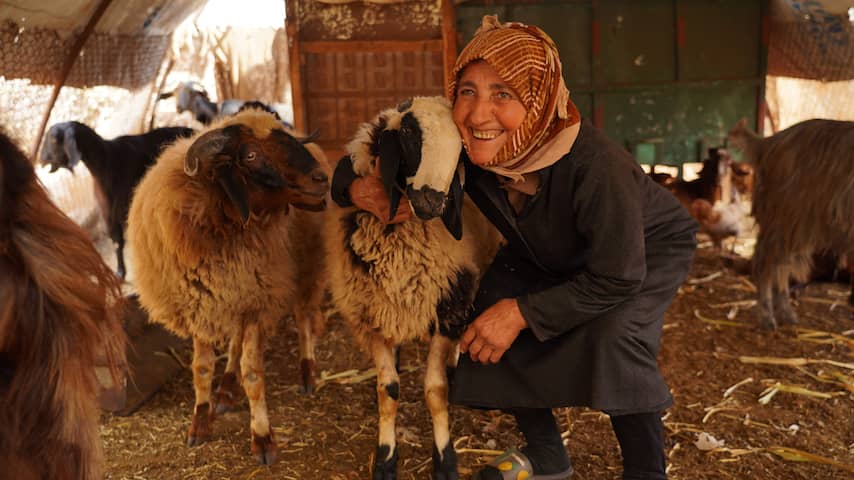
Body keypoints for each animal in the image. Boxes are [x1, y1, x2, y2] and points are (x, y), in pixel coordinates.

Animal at [39, 122, 194, 279]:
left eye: (54, 139)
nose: (42, 159)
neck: (106, 163)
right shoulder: (108, 212)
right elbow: (116, 241)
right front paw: (120, 272)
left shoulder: (122, 208)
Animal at [126, 108, 330, 465]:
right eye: (250, 155)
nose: (321, 179)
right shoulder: (201, 305)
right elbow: (202, 369)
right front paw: (200, 422)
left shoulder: (256, 302)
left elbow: (253, 374)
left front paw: (262, 438)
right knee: (234, 344)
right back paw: (225, 390)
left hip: (306, 265)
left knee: (304, 317)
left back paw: (306, 373)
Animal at [324, 96, 503, 480]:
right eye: (408, 133)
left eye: (461, 146)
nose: (432, 201)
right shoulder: (371, 316)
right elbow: (387, 390)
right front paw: (385, 458)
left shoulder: (450, 303)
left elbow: (435, 391)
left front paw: (445, 460)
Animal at [727, 117, 854, 329]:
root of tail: (769, 143)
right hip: (784, 218)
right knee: (767, 263)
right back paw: (768, 317)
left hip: (797, 226)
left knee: (782, 265)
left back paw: (786, 314)